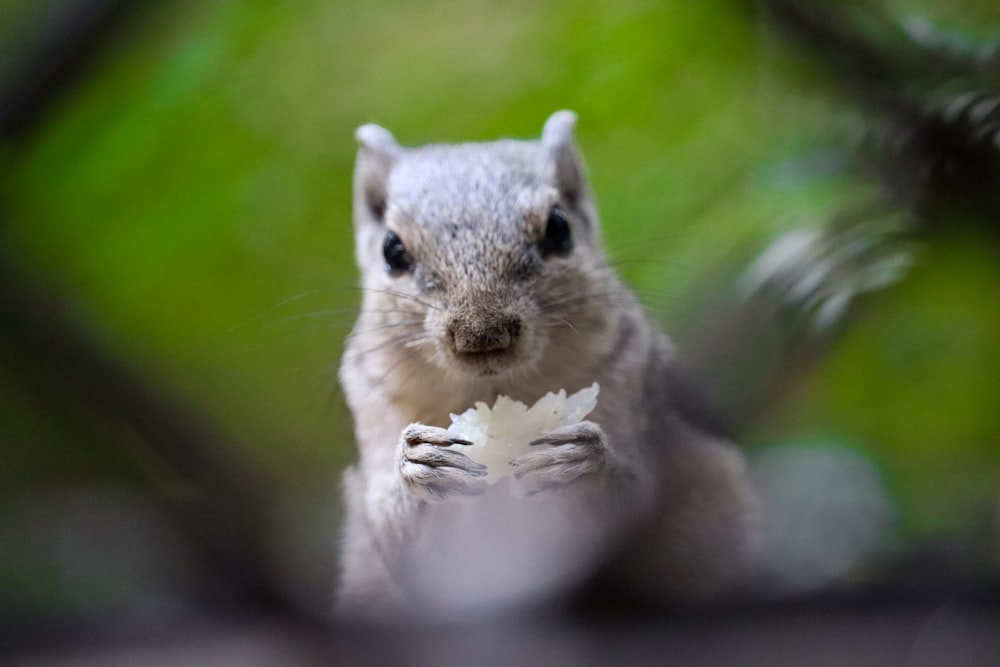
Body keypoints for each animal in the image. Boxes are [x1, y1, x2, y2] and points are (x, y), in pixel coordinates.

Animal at [334, 111, 756, 620]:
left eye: (559, 229)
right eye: (392, 250)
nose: (482, 335)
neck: (495, 390)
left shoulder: (630, 379)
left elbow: (627, 503)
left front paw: (581, 461)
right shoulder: (374, 402)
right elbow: (403, 539)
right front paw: (417, 461)